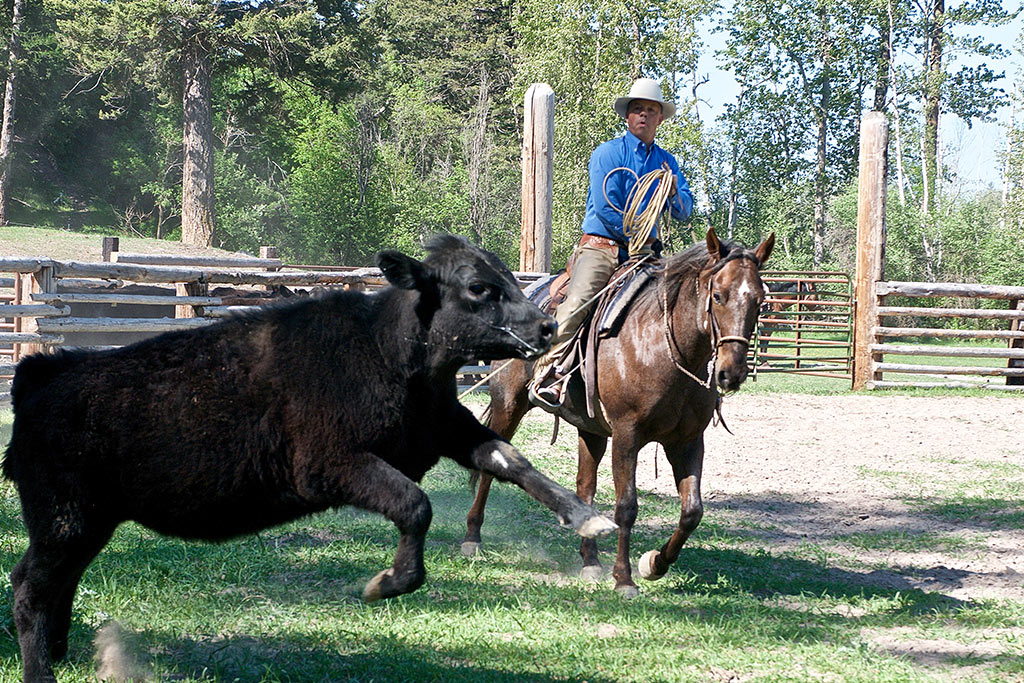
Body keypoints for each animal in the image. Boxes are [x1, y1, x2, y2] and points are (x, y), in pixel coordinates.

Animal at [460, 227, 770, 593]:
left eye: (759, 300)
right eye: (719, 296)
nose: (731, 373)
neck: (663, 346)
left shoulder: (688, 441)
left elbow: (692, 511)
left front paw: (654, 563)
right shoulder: (626, 435)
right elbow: (627, 506)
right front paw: (623, 577)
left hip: (590, 429)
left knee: (585, 488)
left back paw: (591, 561)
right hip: (508, 404)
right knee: (492, 466)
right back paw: (472, 538)